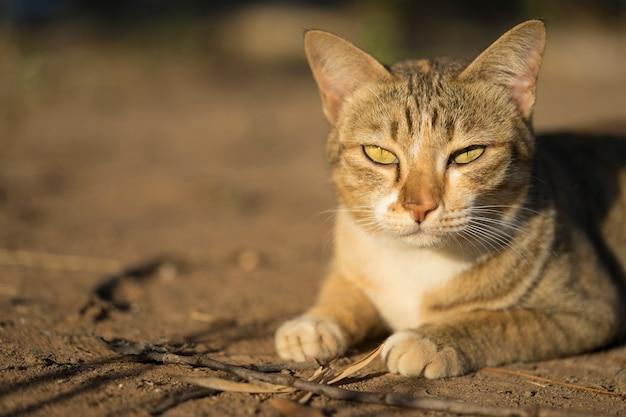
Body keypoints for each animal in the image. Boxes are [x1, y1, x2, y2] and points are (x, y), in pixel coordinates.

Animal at [274, 19, 624, 376]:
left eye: (469, 154)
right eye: (379, 154)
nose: (419, 206)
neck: (415, 261)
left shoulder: (587, 308)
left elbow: (499, 321)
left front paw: (429, 340)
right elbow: (345, 291)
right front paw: (316, 321)